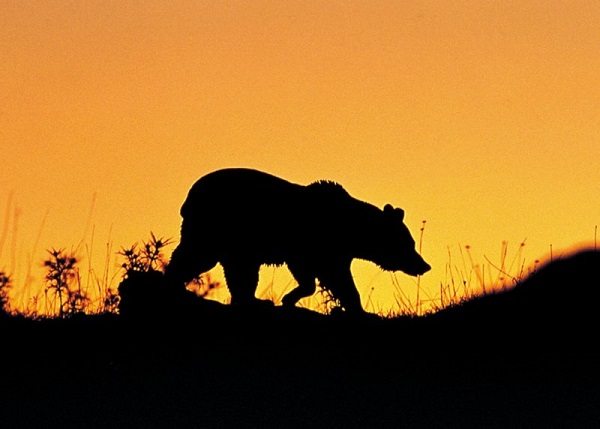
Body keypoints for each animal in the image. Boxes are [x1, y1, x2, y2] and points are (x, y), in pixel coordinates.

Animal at [162, 167, 428, 310]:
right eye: (409, 243)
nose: (424, 265)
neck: (351, 230)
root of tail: (189, 196)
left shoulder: (329, 251)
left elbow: (323, 275)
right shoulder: (314, 245)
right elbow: (334, 277)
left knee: (236, 269)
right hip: (216, 226)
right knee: (199, 256)